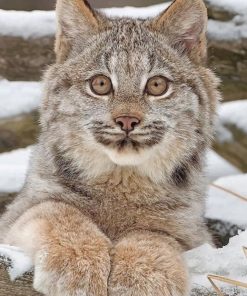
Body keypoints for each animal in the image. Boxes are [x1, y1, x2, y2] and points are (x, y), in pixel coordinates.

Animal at [0, 0, 220, 294]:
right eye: (101, 84)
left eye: (157, 85)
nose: (127, 120)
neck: (122, 178)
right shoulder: (16, 216)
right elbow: (55, 209)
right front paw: (78, 267)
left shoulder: (194, 234)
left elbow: (154, 234)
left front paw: (143, 279)